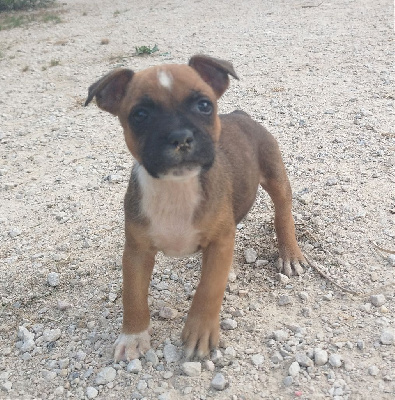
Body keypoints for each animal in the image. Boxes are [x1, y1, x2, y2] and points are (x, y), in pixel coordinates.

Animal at [85, 55, 308, 360]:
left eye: (204, 105)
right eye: (140, 115)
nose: (180, 137)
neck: (176, 188)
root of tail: (241, 115)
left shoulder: (218, 241)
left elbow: (209, 288)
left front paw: (200, 330)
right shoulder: (136, 252)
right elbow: (133, 294)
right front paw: (133, 336)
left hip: (275, 176)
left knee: (283, 211)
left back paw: (290, 253)